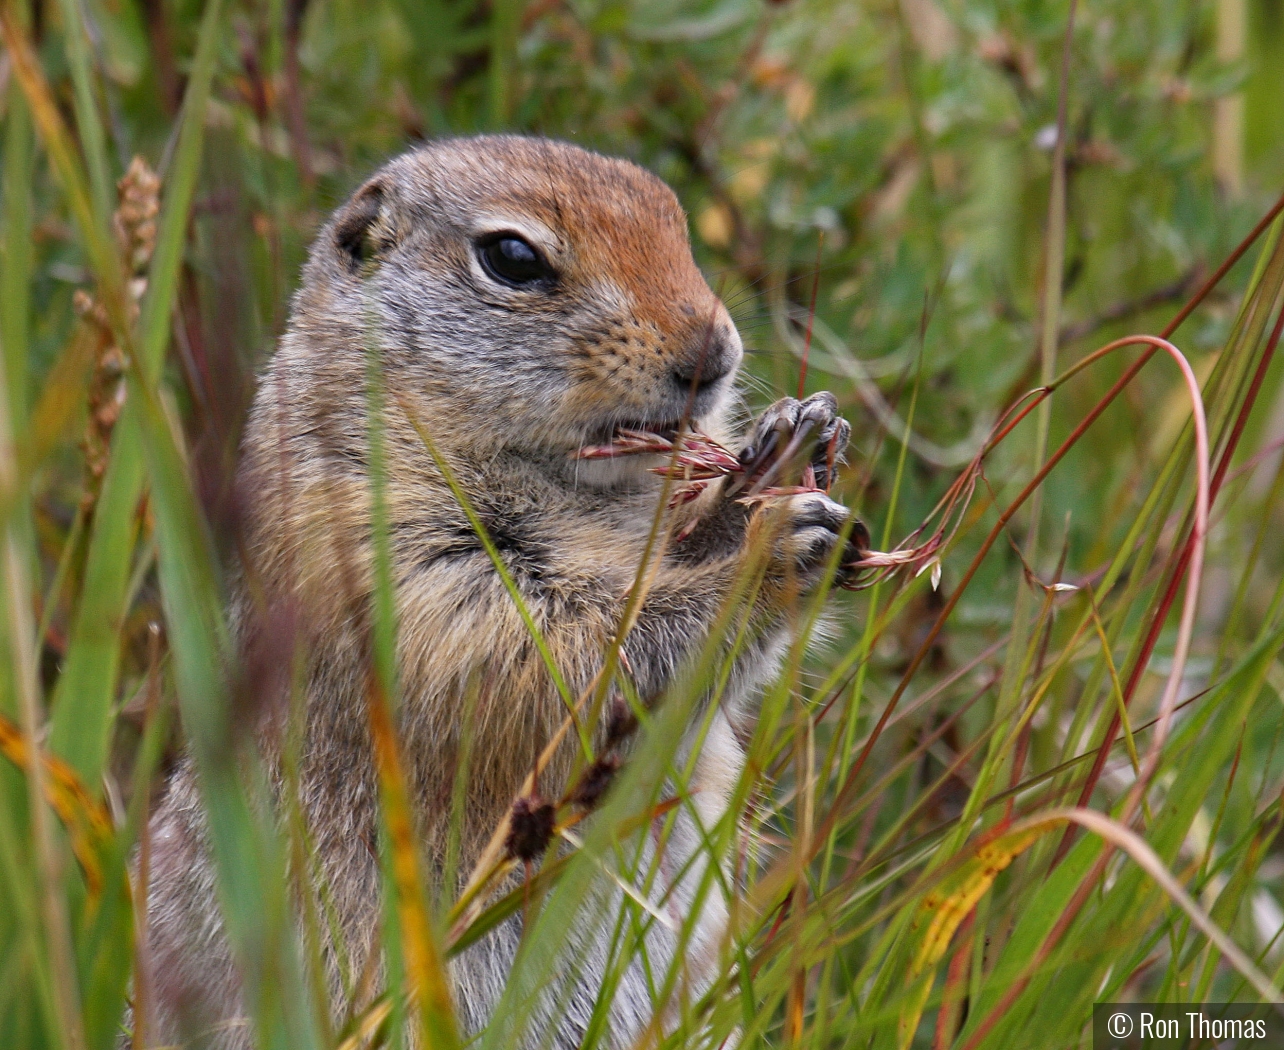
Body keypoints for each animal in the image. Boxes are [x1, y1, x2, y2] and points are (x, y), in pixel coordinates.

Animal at [143, 134, 862, 1042]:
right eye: (513, 258)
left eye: (674, 218)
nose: (715, 353)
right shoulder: (386, 559)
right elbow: (565, 664)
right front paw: (773, 556)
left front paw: (784, 447)